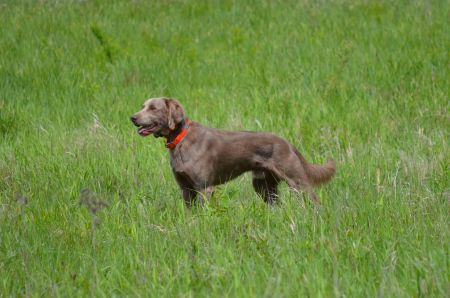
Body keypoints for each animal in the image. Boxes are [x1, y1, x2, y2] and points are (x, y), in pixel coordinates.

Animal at [130, 96, 334, 206]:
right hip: (264, 186)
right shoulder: (186, 188)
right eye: (142, 106)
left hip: (296, 180)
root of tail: (288, 142)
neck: (181, 139)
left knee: (314, 200)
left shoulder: (204, 187)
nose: (132, 117)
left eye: (153, 108)